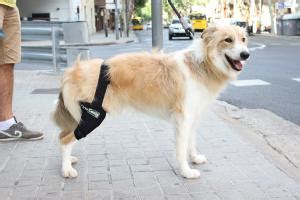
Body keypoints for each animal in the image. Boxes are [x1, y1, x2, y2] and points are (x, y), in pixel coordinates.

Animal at [52, 24, 250, 179]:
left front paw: (194, 158)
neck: (202, 64)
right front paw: (186, 171)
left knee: (63, 136)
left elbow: (191, 142)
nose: (246, 54)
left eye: (243, 39)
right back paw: (66, 170)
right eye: (228, 40)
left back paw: (68, 161)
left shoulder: (192, 117)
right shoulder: (183, 119)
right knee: (66, 140)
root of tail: (71, 71)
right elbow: (181, 148)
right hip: (92, 117)